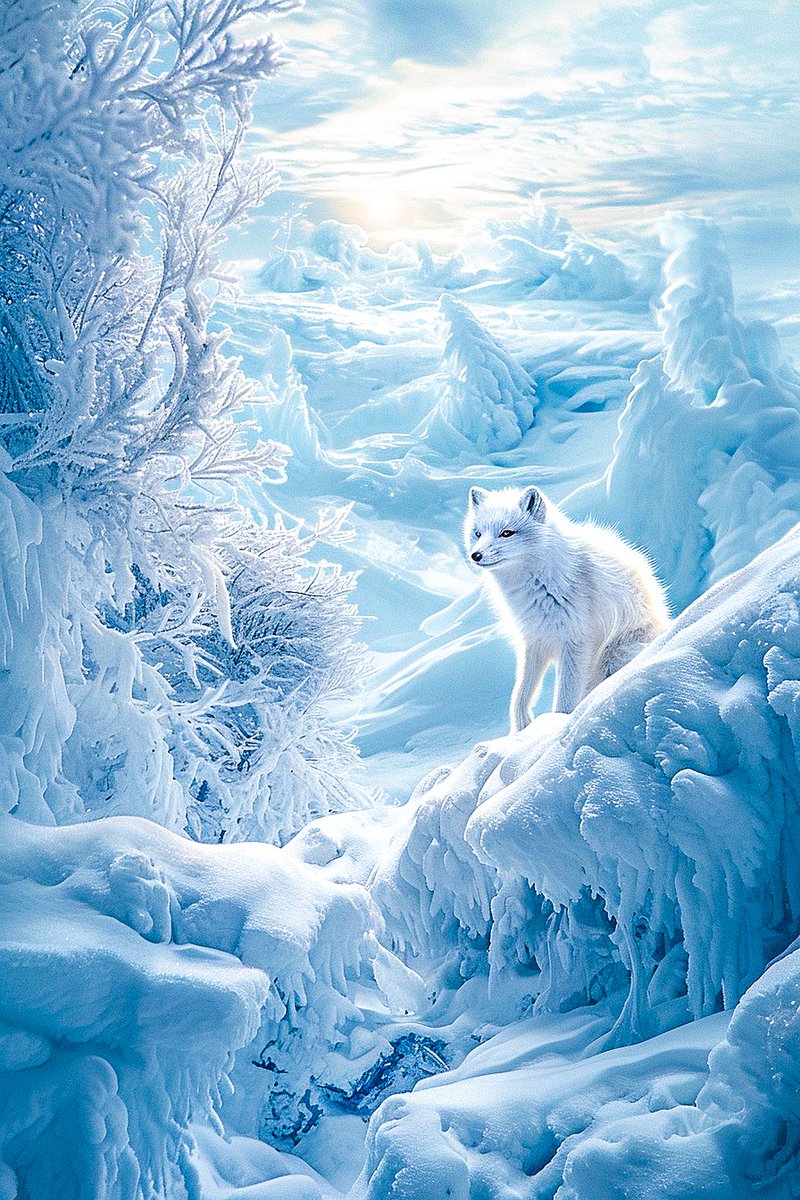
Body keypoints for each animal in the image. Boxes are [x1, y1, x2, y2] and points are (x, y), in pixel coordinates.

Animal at [466, 484, 669, 731]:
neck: (539, 581)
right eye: (478, 534)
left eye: (506, 533)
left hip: (613, 655)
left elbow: (565, 698)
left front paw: (557, 728)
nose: (475, 555)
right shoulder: (535, 639)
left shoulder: (576, 642)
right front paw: (522, 728)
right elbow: (520, 693)